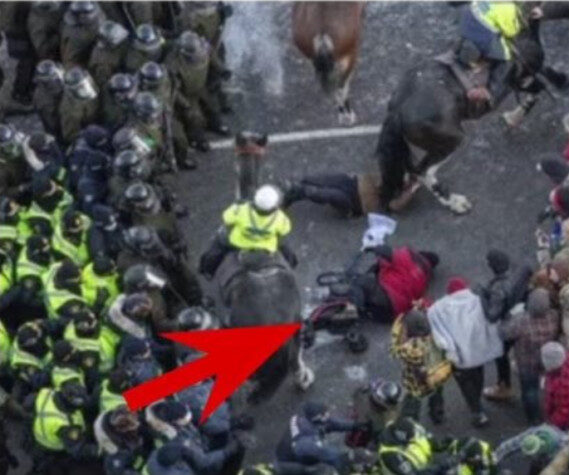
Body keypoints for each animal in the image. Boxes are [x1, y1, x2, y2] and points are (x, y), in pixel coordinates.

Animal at [378, 4, 568, 214]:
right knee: (422, 171)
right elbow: (536, 91)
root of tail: (398, 110)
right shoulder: (522, 78)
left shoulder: (521, 80)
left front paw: (513, 117)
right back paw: (455, 202)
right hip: (451, 140)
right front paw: (515, 117)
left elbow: (536, 91)